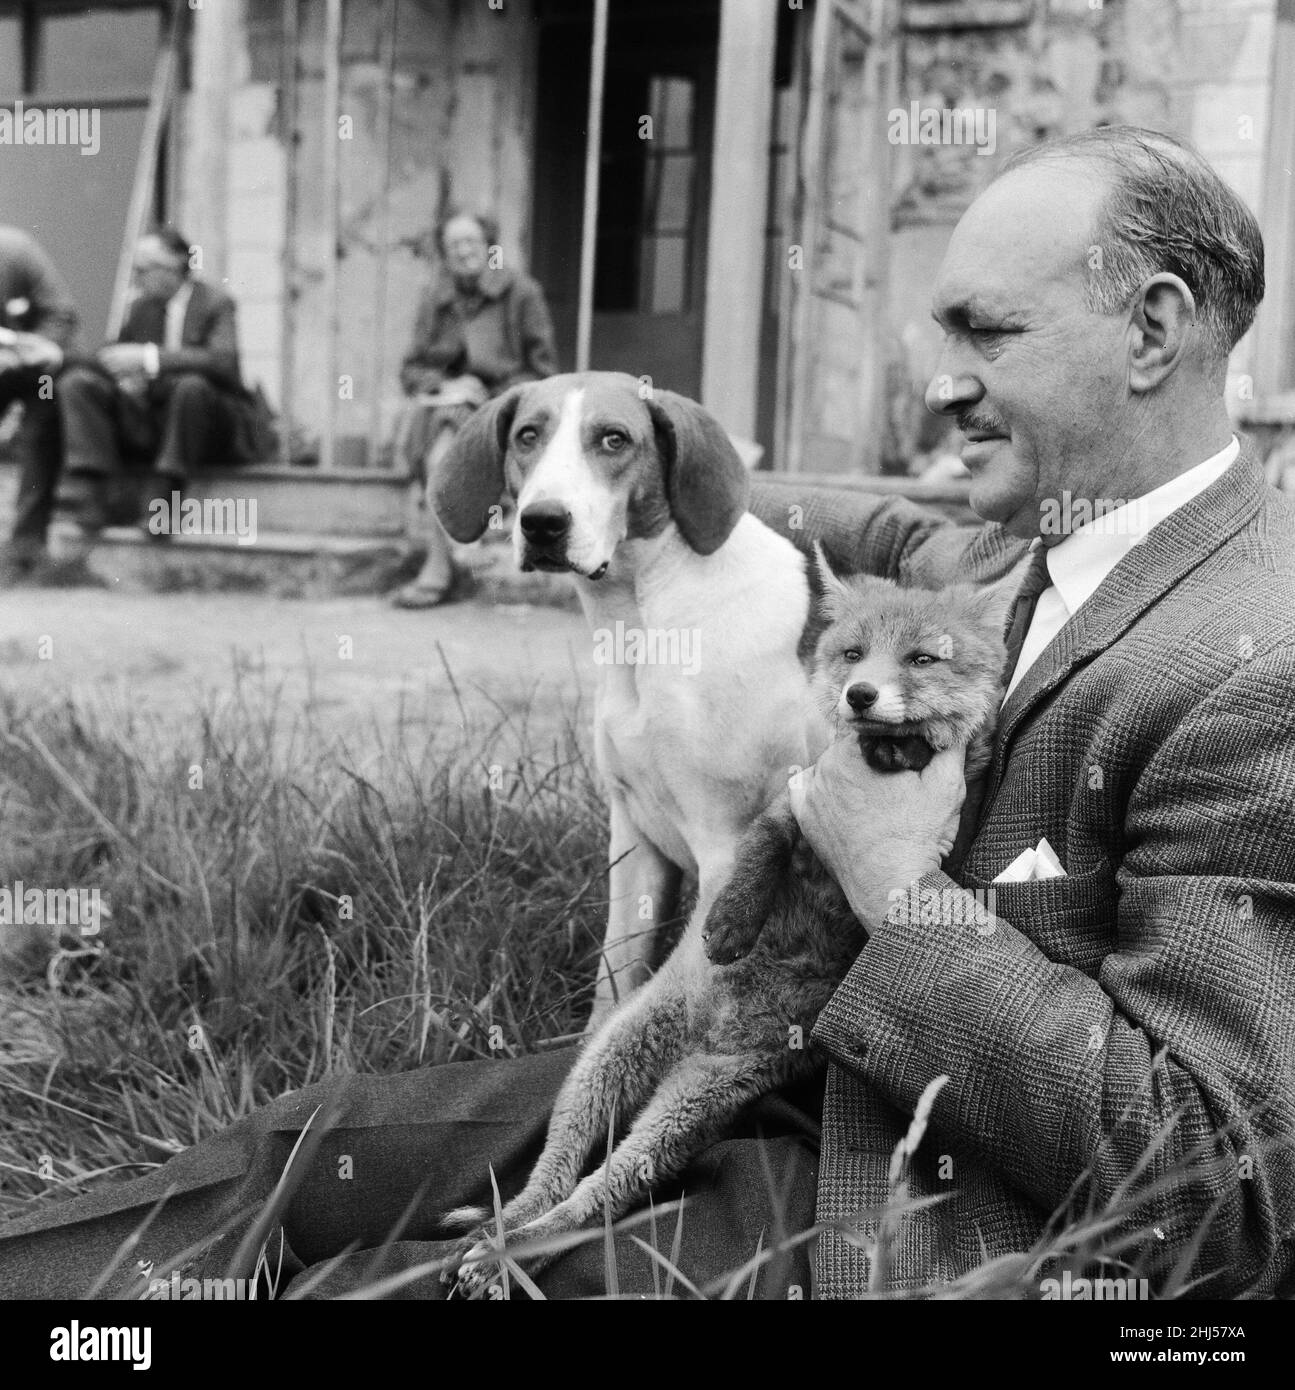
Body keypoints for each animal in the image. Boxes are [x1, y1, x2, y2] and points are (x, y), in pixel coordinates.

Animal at [436, 369, 817, 1023]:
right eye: (527, 435)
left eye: (614, 439)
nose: (542, 521)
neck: (647, 614)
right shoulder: (635, 839)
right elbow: (613, 984)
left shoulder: (723, 853)